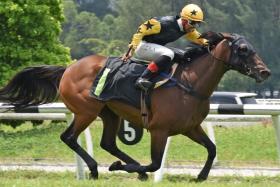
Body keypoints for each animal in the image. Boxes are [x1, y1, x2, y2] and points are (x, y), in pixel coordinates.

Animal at [0, 32, 272, 180]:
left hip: (109, 113)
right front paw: (120, 167)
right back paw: (96, 169)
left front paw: (201, 176)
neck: (190, 83)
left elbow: (212, 149)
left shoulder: (190, 128)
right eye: (243, 49)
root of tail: (68, 68)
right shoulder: (159, 130)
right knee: (69, 137)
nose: (265, 71)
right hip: (86, 111)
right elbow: (154, 163)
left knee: (107, 143)